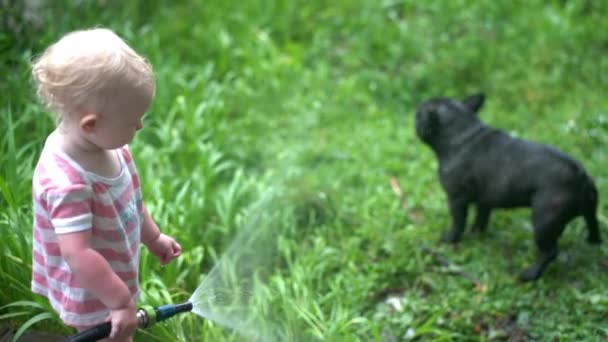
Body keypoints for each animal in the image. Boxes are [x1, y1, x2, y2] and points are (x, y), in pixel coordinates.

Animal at [416, 93, 600, 280]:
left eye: (418, 116)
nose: (415, 117)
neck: (463, 132)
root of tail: (580, 176)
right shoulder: (484, 201)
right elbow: (481, 218)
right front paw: (476, 234)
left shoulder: (456, 199)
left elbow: (458, 222)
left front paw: (449, 239)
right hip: (587, 210)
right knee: (593, 223)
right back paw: (594, 241)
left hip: (544, 222)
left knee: (549, 252)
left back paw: (529, 274)